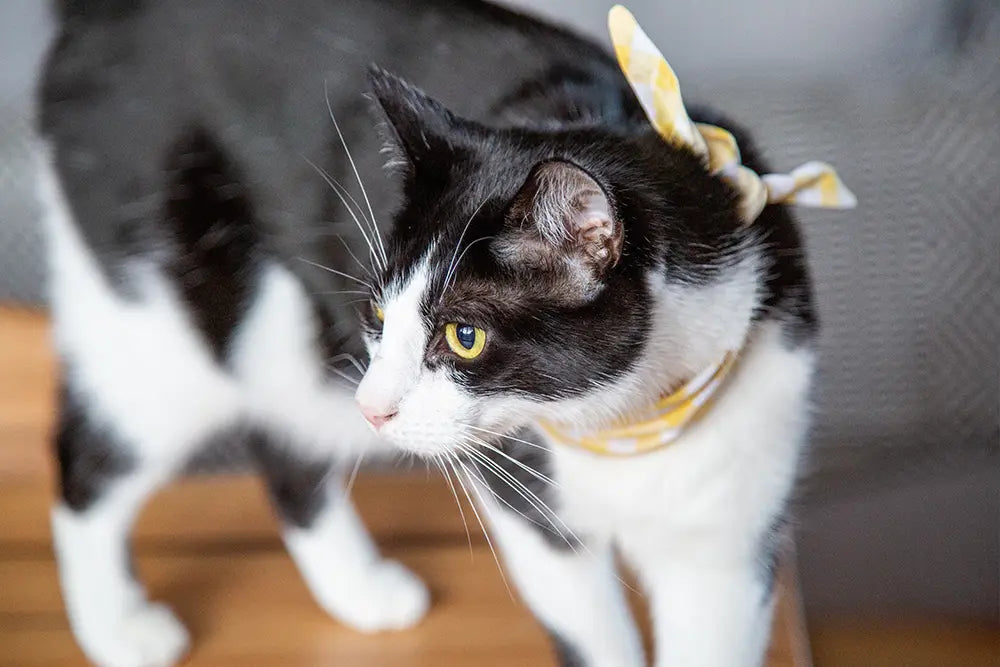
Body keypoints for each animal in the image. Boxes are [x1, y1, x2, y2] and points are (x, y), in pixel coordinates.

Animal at [37, 1, 820, 667]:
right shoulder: (536, 516)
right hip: (160, 304)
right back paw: (118, 628)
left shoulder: (732, 531)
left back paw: (359, 588)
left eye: (464, 335)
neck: (631, 424)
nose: (373, 409)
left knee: (283, 435)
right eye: (382, 315)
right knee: (92, 451)